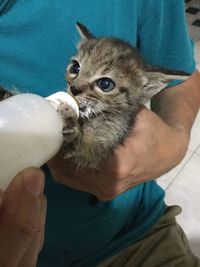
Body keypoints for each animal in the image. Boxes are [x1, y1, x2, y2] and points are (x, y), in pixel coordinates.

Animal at [61, 23, 188, 170]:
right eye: (75, 68)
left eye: (105, 84)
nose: (74, 88)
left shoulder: (104, 145)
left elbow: (87, 150)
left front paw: (71, 126)